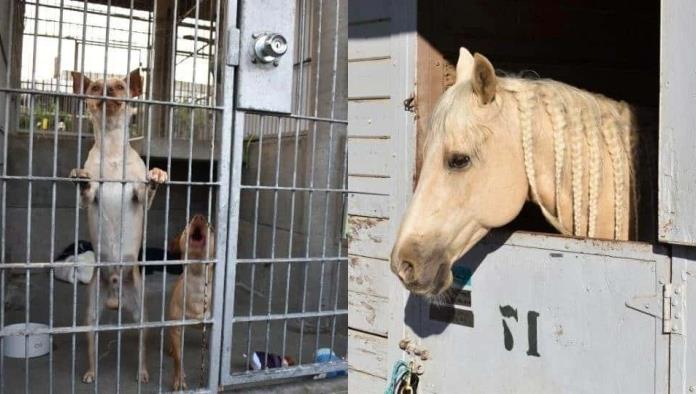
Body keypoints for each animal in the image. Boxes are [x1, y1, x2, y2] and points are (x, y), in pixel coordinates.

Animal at [69, 69, 169, 384]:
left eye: (121, 86)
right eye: (94, 87)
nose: (107, 91)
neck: (112, 149)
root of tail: (115, 295)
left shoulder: (138, 196)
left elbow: (145, 188)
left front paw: (157, 174)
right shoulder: (90, 197)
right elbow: (87, 190)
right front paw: (80, 176)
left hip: (141, 315)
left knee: (141, 344)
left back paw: (143, 372)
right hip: (91, 315)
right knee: (92, 342)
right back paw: (91, 373)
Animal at [167, 215, 213, 390]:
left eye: (211, 227)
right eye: (187, 224)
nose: (199, 216)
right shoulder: (177, 327)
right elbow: (178, 359)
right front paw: (179, 379)